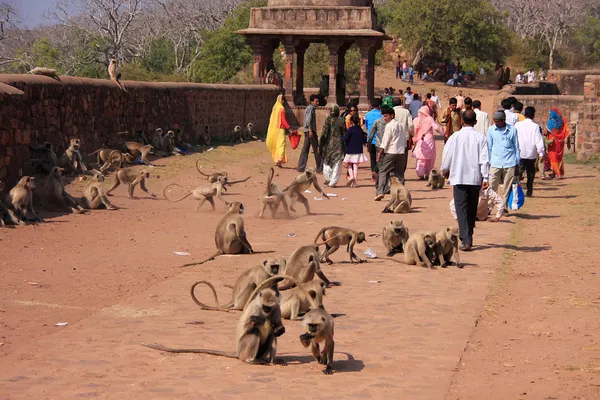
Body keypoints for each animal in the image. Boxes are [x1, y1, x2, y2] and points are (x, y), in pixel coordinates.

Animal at [143, 282, 288, 364]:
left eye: (268, 307)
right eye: (264, 306)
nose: (266, 311)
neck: (265, 312)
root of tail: (238, 352)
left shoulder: (276, 308)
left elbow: (278, 327)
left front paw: (278, 328)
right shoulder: (255, 308)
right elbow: (247, 325)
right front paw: (260, 320)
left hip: (260, 352)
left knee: (273, 333)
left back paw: (271, 360)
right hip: (243, 348)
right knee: (255, 330)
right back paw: (251, 360)